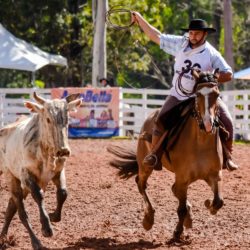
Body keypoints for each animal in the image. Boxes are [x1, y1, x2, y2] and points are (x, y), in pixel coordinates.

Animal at [108, 69, 224, 243]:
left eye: (216, 94)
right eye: (197, 94)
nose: (208, 123)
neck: (200, 142)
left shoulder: (213, 176)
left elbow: (218, 201)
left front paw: (208, 204)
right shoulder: (182, 178)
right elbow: (181, 209)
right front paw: (177, 233)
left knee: (173, 190)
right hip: (145, 165)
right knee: (141, 184)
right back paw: (149, 218)